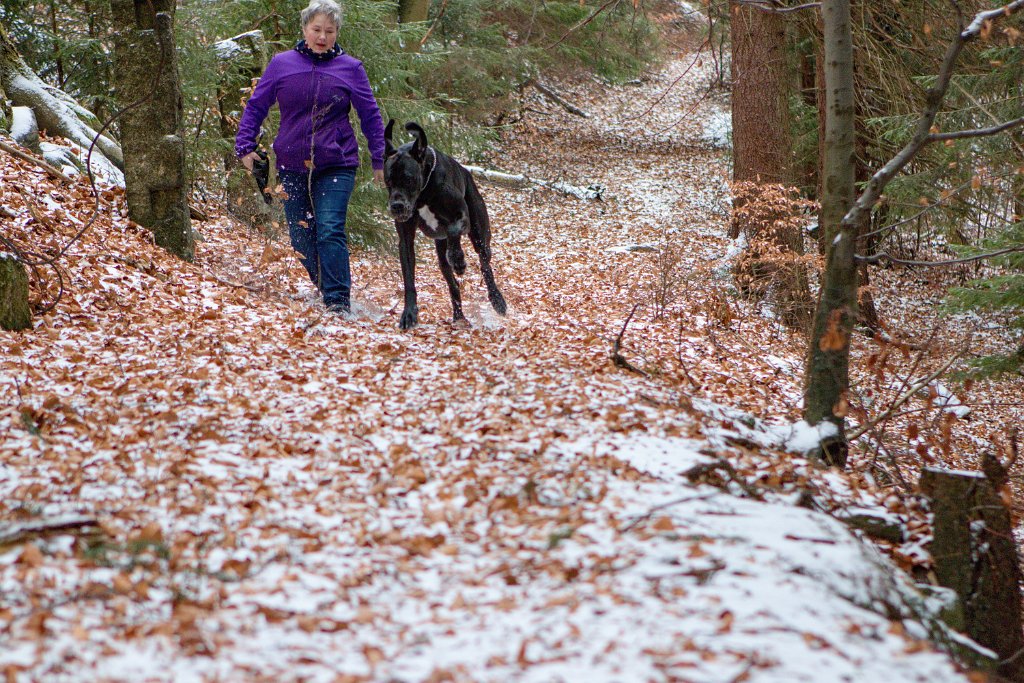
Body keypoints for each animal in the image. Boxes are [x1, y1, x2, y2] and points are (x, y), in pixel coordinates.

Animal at [382, 122, 505, 331]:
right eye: (388, 180)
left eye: (408, 179)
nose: (396, 206)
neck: (423, 194)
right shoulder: (405, 241)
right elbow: (409, 279)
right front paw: (409, 314)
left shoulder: (462, 216)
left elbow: (453, 230)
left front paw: (458, 259)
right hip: (441, 255)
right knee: (453, 282)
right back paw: (459, 316)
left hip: (479, 234)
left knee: (485, 264)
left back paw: (497, 299)